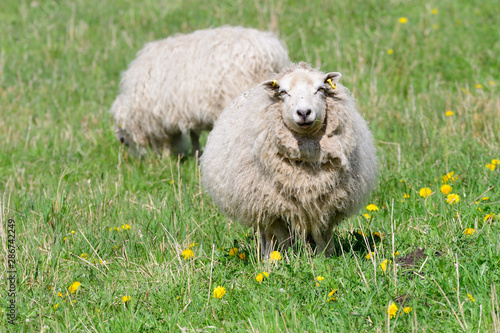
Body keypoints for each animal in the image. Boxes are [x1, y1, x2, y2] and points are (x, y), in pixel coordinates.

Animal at [109, 25, 290, 156]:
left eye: (123, 133)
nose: (121, 140)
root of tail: (272, 52)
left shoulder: (160, 116)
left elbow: (168, 141)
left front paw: (166, 160)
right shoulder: (189, 113)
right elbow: (194, 136)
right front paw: (196, 155)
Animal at [201, 61, 376, 255]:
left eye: (320, 89)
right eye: (283, 92)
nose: (304, 112)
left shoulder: (327, 205)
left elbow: (323, 234)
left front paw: (326, 256)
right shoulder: (272, 207)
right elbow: (281, 236)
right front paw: (284, 257)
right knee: (267, 235)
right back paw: (268, 255)